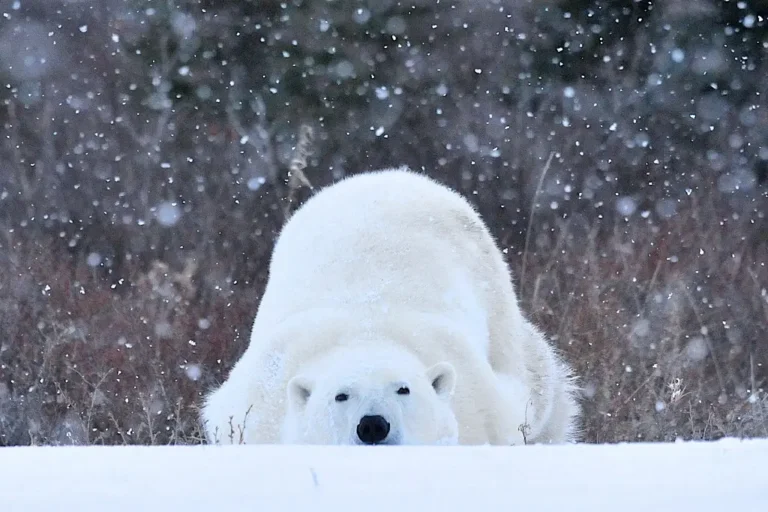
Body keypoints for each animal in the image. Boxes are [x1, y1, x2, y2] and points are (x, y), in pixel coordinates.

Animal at [200, 167, 581, 446]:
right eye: (341, 395)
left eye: (403, 388)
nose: (372, 425)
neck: (367, 331)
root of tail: (393, 175)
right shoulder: (260, 407)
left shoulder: (475, 403)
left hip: (498, 303)